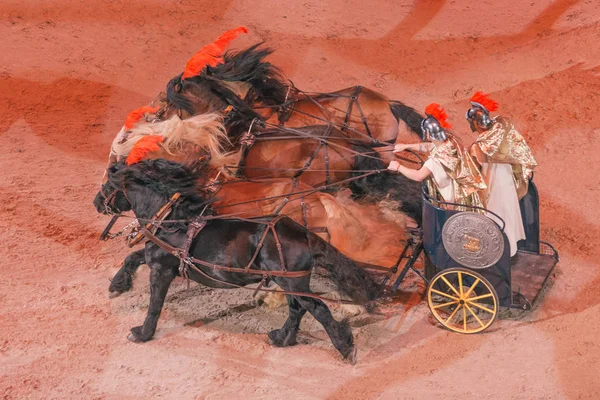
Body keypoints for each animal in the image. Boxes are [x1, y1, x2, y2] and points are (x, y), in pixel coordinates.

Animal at [92, 160, 380, 362]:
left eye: (107, 186)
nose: (96, 203)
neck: (172, 221)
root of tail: (304, 233)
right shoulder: (156, 256)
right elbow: (132, 257)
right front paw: (117, 285)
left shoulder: (161, 269)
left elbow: (155, 304)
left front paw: (142, 333)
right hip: (288, 281)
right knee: (297, 309)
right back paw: (282, 338)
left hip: (292, 281)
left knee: (316, 308)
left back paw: (345, 348)